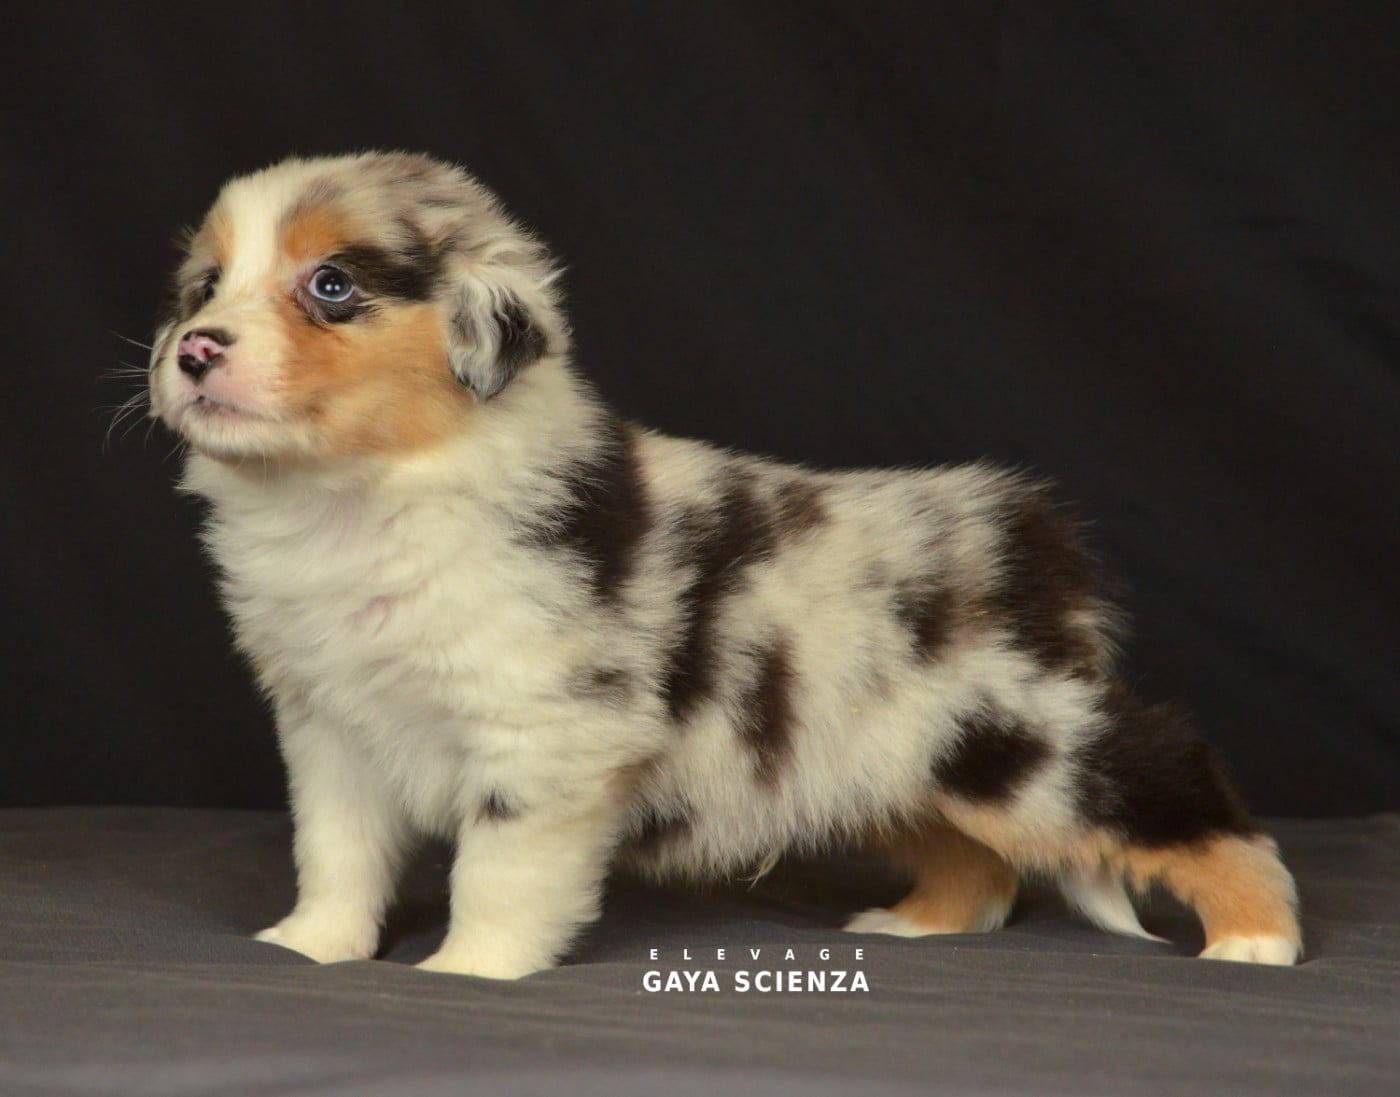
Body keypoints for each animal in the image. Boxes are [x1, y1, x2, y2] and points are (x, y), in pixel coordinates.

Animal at [147, 151, 1301, 977]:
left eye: (332, 284)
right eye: (203, 286)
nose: (192, 349)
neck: (352, 497)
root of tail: (1033, 537)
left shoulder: (542, 733)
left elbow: (497, 872)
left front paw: (464, 973)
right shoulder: (329, 726)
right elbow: (336, 853)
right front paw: (308, 948)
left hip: (1022, 733)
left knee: (1174, 779)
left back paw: (1256, 940)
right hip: (897, 754)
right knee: (973, 858)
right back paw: (917, 926)